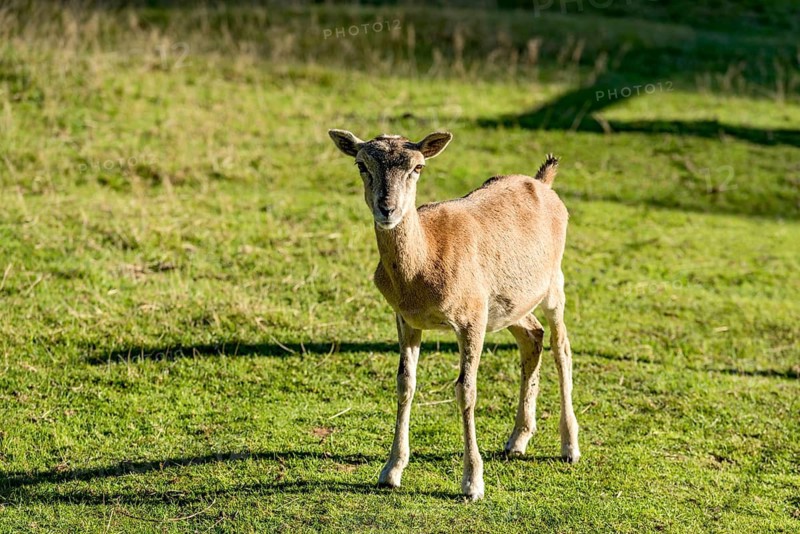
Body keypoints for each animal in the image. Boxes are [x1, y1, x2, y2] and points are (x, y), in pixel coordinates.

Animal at [328, 129, 580, 500]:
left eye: (417, 167)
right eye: (362, 164)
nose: (387, 208)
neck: (423, 267)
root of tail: (543, 182)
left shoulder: (472, 316)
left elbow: (466, 390)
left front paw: (472, 483)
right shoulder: (406, 319)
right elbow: (405, 383)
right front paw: (390, 472)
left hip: (553, 284)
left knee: (562, 349)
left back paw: (569, 446)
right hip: (510, 304)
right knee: (533, 336)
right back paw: (517, 441)